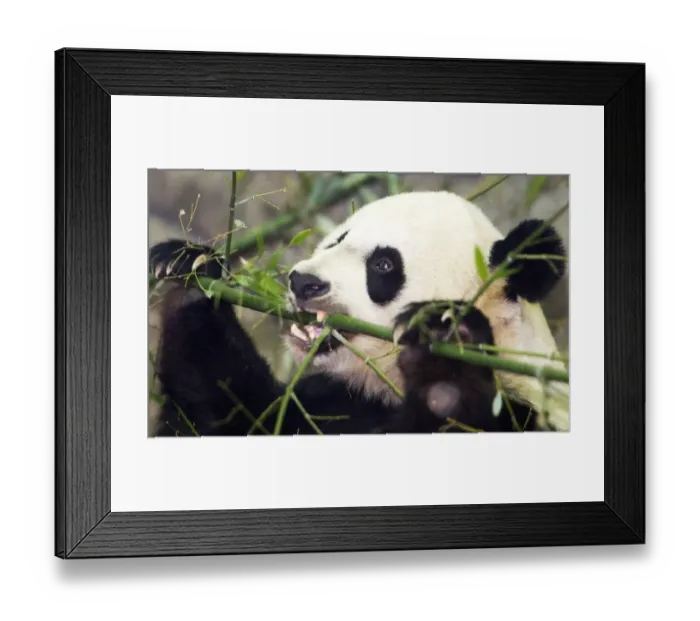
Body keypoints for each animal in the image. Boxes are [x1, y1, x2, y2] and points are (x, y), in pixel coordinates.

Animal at [148, 190, 569, 436]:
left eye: (383, 265)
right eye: (338, 239)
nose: (304, 282)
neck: (383, 387)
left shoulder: (520, 413)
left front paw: (444, 353)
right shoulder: (328, 401)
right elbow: (224, 416)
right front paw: (190, 271)